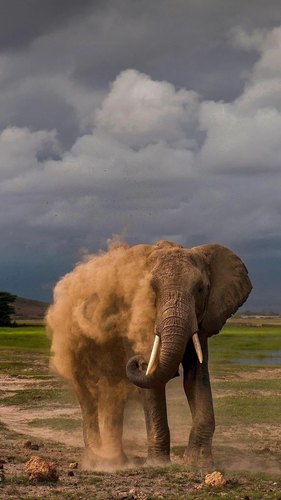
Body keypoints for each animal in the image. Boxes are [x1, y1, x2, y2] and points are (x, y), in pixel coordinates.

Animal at [46, 241, 252, 468]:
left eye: (200, 289)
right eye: (152, 290)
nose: (137, 361)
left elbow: (196, 376)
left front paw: (198, 464)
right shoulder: (132, 318)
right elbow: (151, 381)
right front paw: (158, 464)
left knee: (113, 395)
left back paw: (116, 461)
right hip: (72, 342)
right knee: (88, 395)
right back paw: (98, 461)